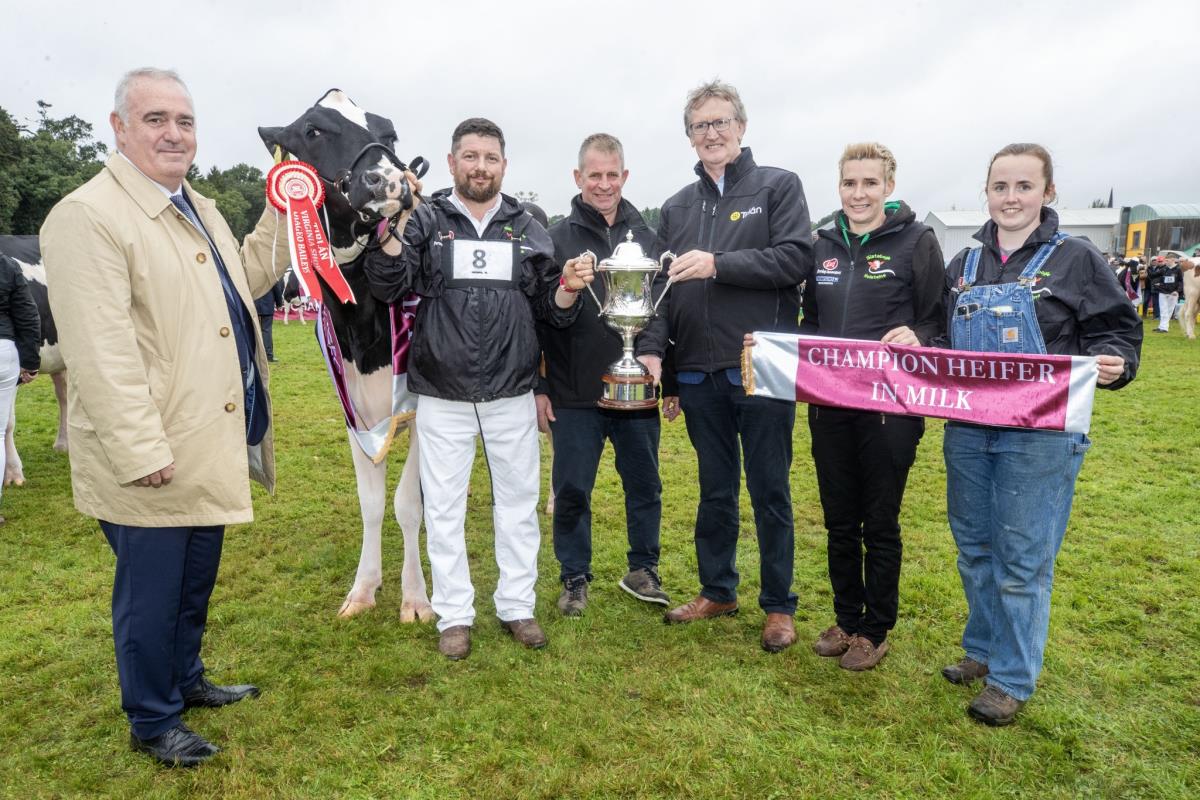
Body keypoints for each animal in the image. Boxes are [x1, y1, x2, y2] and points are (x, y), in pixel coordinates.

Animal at [260, 90, 434, 623]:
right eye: (313, 130)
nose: (389, 179)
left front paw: (415, 599)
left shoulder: (419, 409)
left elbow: (407, 505)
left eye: (389, 132)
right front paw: (364, 589)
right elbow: (372, 504)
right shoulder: (352, 410)